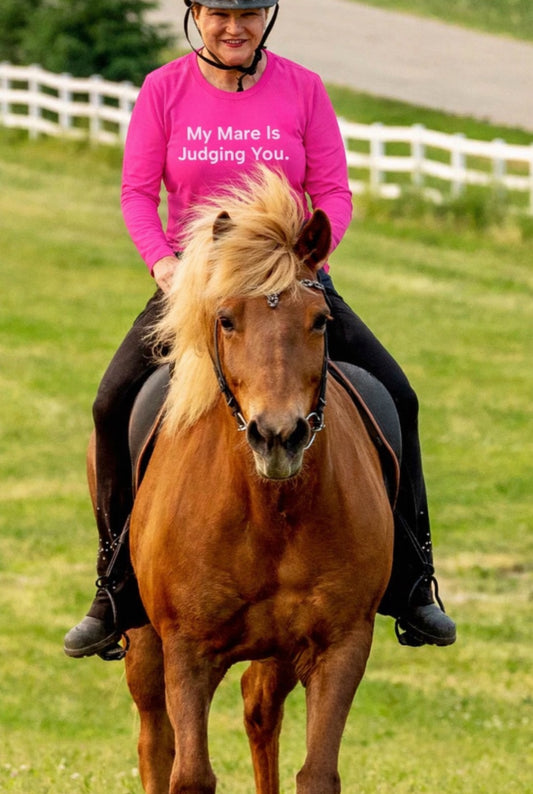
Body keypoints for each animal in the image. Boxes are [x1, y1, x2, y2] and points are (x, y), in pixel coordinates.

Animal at [123, 167, 394, 794]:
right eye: (226, 319)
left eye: (320, 322)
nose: (278, 436)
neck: (269, 512)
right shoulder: (188, 651)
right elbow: (189, 774)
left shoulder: (339, 646)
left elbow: (317, 773)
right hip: (146, 644)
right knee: (155, 739)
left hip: (279, 651)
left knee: (259, 709)